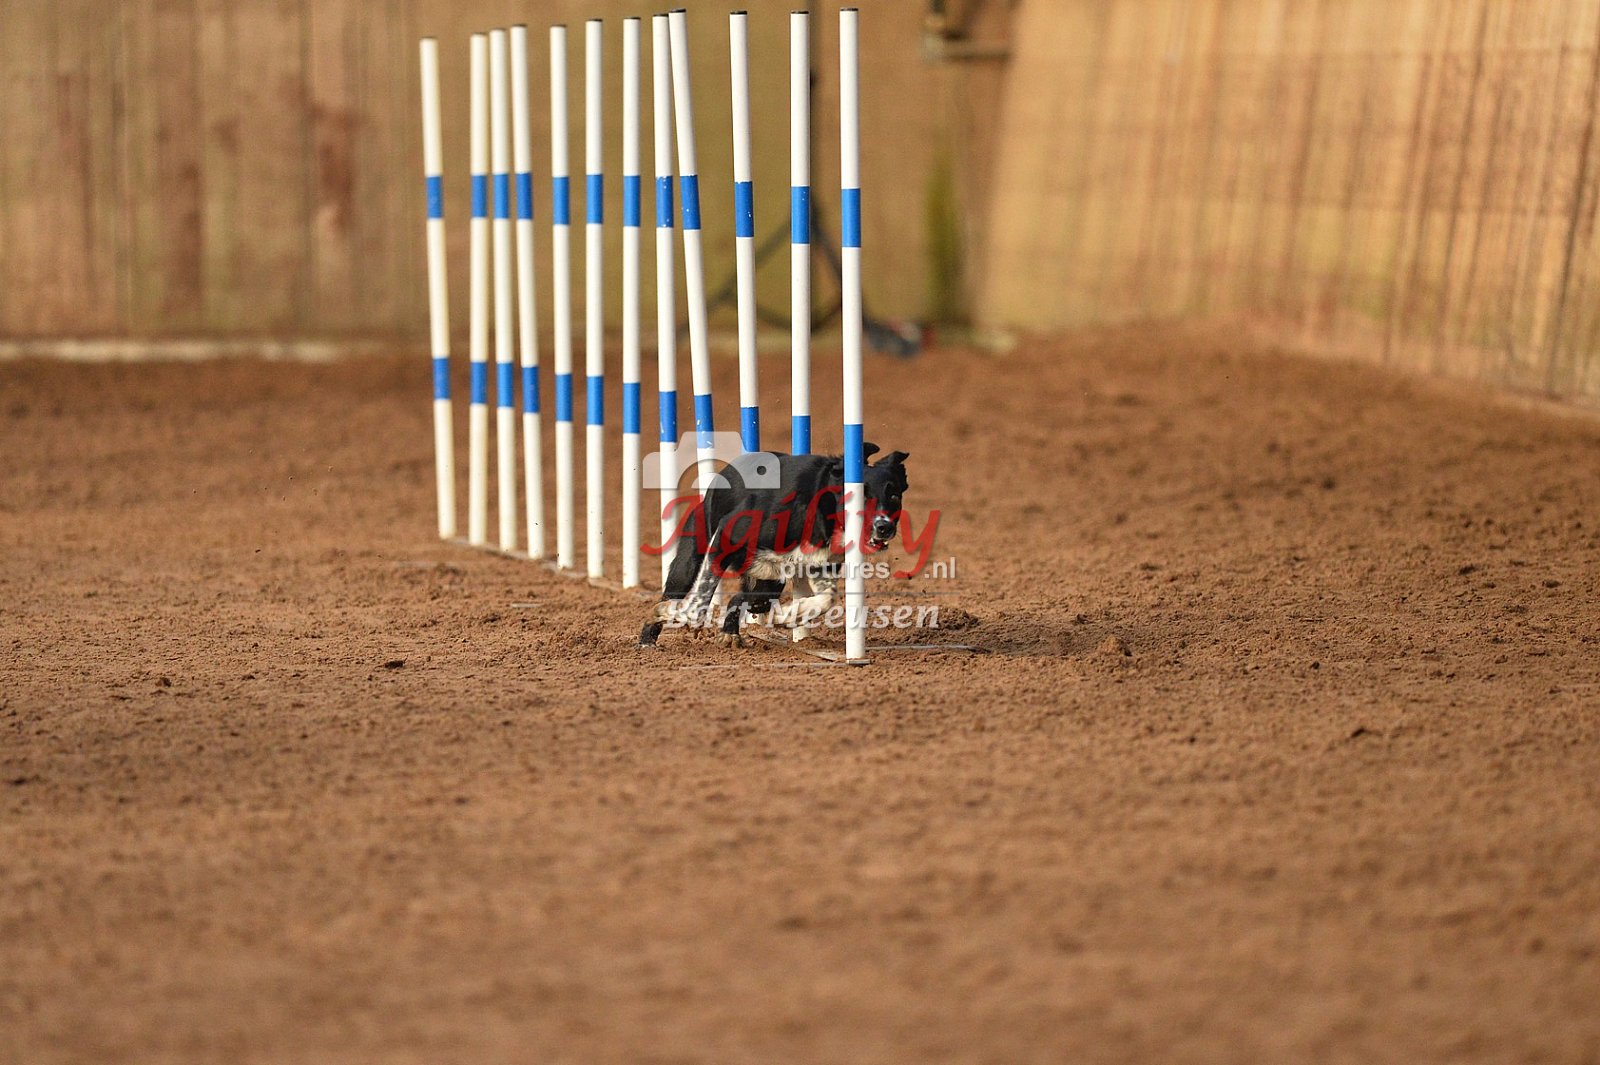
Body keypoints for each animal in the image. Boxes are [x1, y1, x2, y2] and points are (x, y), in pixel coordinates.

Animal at [639, 444, 910, 648]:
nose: (884, 527)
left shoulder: (821, 564)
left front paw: (791, 614)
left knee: (746, 598)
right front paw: (678, 615)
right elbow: (700, 599)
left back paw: (731, 632)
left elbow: (827, 598)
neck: (819, 506)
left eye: (894, 495)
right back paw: (648, 639)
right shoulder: (727, 535)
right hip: (689, 562)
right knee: (673, 591)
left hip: (770, 580)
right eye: (861, 495)